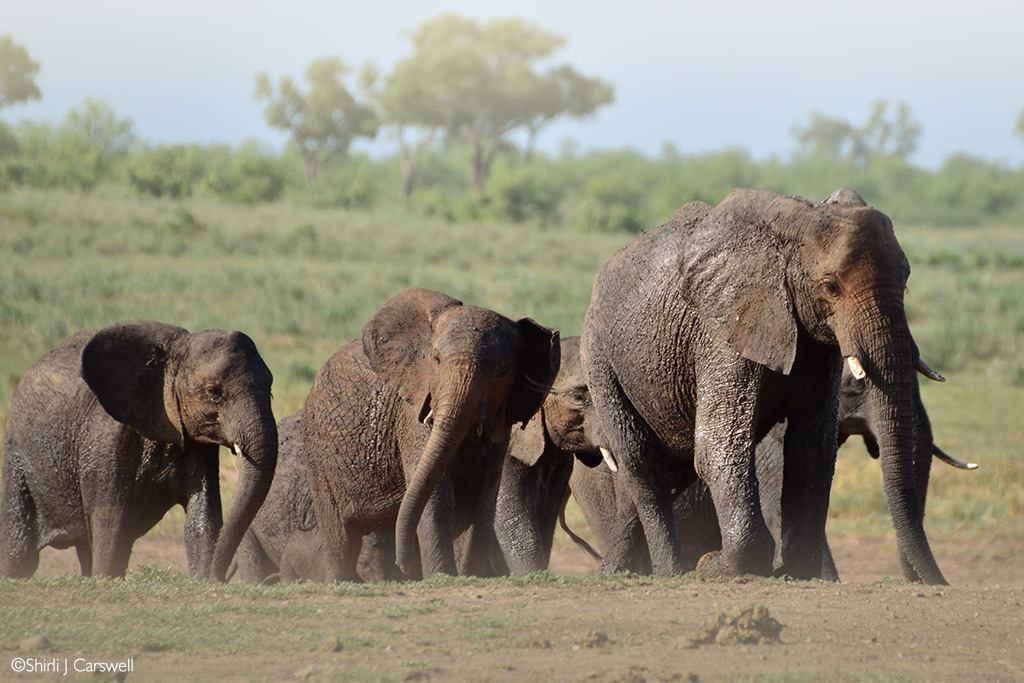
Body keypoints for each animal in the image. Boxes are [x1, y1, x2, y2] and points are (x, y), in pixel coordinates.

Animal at [1, 319, 276, 577]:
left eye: (271, 389)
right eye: (214, 391)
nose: (219, 576)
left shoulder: (195, 443)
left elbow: (203, 517)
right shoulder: (105, 439)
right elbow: (111, 521)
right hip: (16, 456)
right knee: (18, 551)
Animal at [301, 288, 561, 581]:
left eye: (502, 372)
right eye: (436, 360)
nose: (404, 566)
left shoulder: (500, 432)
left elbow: (484, 501)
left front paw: (471, 575)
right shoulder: (412, 419)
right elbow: (436, 497)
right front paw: (442, 576)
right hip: (317, 455)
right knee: (341, 537)